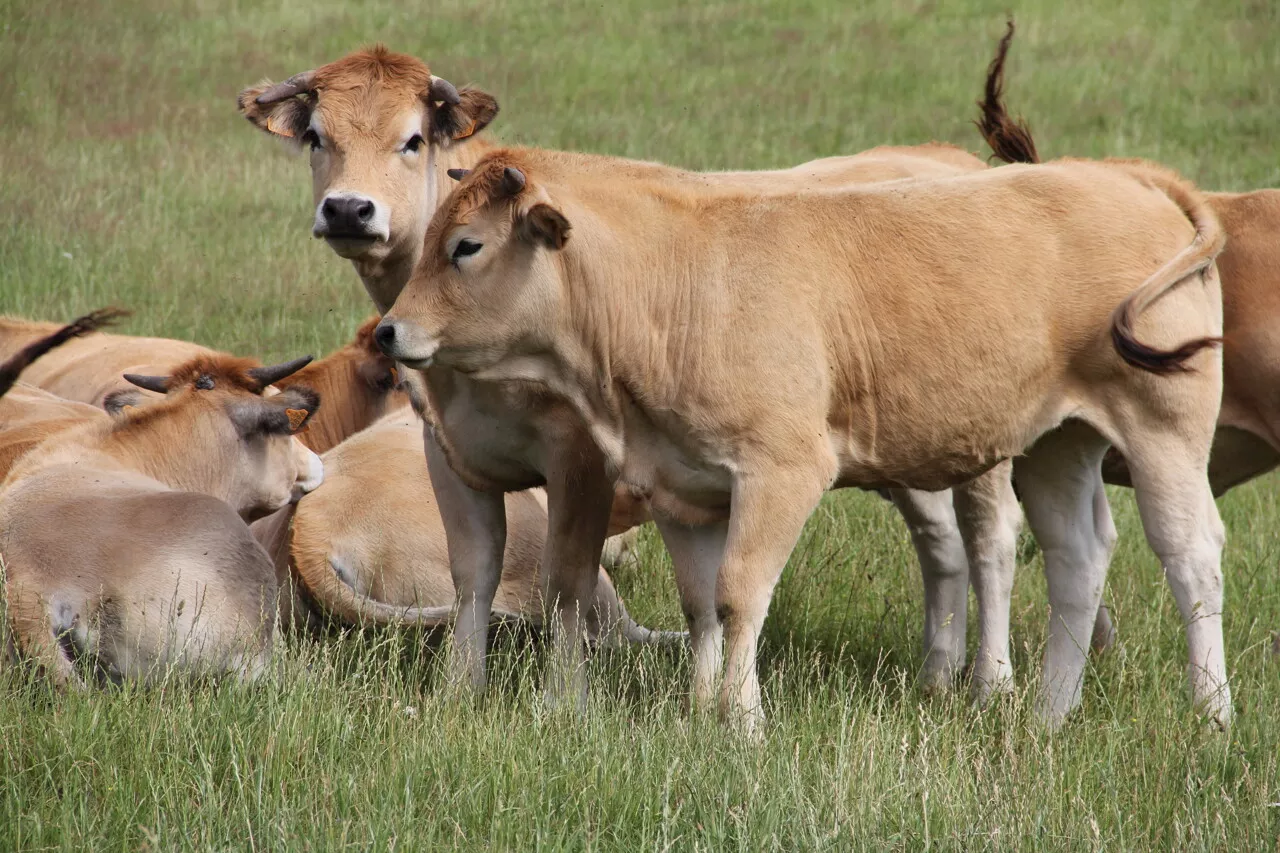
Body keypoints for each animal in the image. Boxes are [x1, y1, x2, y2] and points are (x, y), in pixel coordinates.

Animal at [376, 142, 1228, 727]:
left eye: (467, 246)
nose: (389, 331)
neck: (676, 280)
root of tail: (1120, 174)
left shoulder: (781, 471)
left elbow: (740, 593)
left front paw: (743, 720)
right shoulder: (683, 487)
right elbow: (701, 601)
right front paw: (700, 708)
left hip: (1164, 430)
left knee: (1190, 556)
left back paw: (1209, 712)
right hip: (1056, 443)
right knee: (1075, 559)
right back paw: (1051, 711)